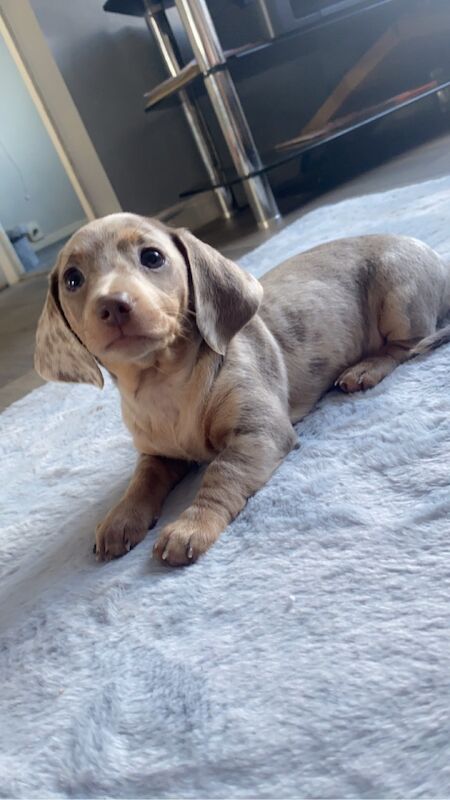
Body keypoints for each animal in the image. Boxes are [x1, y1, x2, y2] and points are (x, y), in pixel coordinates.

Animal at [34, 212, 450, 564]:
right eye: (72, 279)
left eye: (152, 257)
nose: (113, 304)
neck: (162, 383)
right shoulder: (156, 453)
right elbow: (143, 480)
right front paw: (122, 516)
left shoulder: (258, 433)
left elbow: (222, 473)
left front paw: (191, 525)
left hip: (397, 293)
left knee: (405, 346)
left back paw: (365, 368)